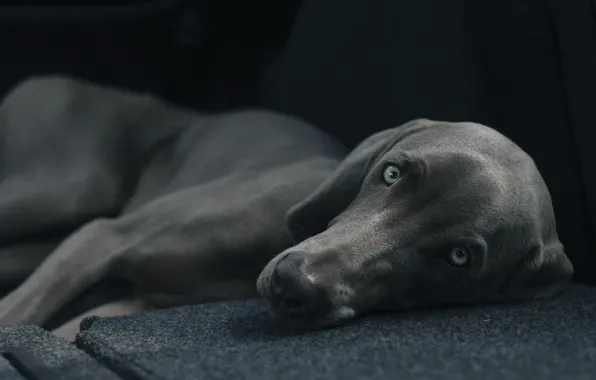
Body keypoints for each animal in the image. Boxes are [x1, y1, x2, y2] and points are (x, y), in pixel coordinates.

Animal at [0, 75, 572, 332]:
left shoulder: (135, 304)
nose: (291, 284)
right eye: (391, 173)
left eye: (459, 258)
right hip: (67, 187)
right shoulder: (103, 237)